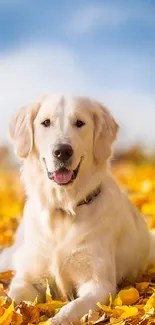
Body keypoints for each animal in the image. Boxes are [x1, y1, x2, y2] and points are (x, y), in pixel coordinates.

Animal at [0, 94, 154, 324]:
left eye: (80, 123)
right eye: (46, 122)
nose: (62, 151)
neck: (63, 209)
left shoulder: (99, 285)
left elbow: (70, 308)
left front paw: (54, 320)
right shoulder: (28, 279)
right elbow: (11, 299)